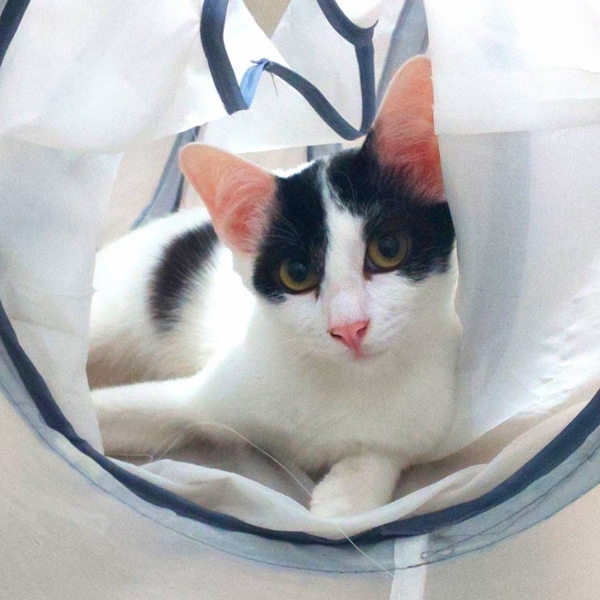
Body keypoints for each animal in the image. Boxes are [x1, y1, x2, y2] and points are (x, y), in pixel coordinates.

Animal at [89, 56, 461, 519]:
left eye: (388, 249)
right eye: (296, 274)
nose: (349, 328)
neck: (344, 383)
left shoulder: (427, 417)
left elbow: (380, 459)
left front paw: (346, 496)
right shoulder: (209, 391)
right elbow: (125, 411)